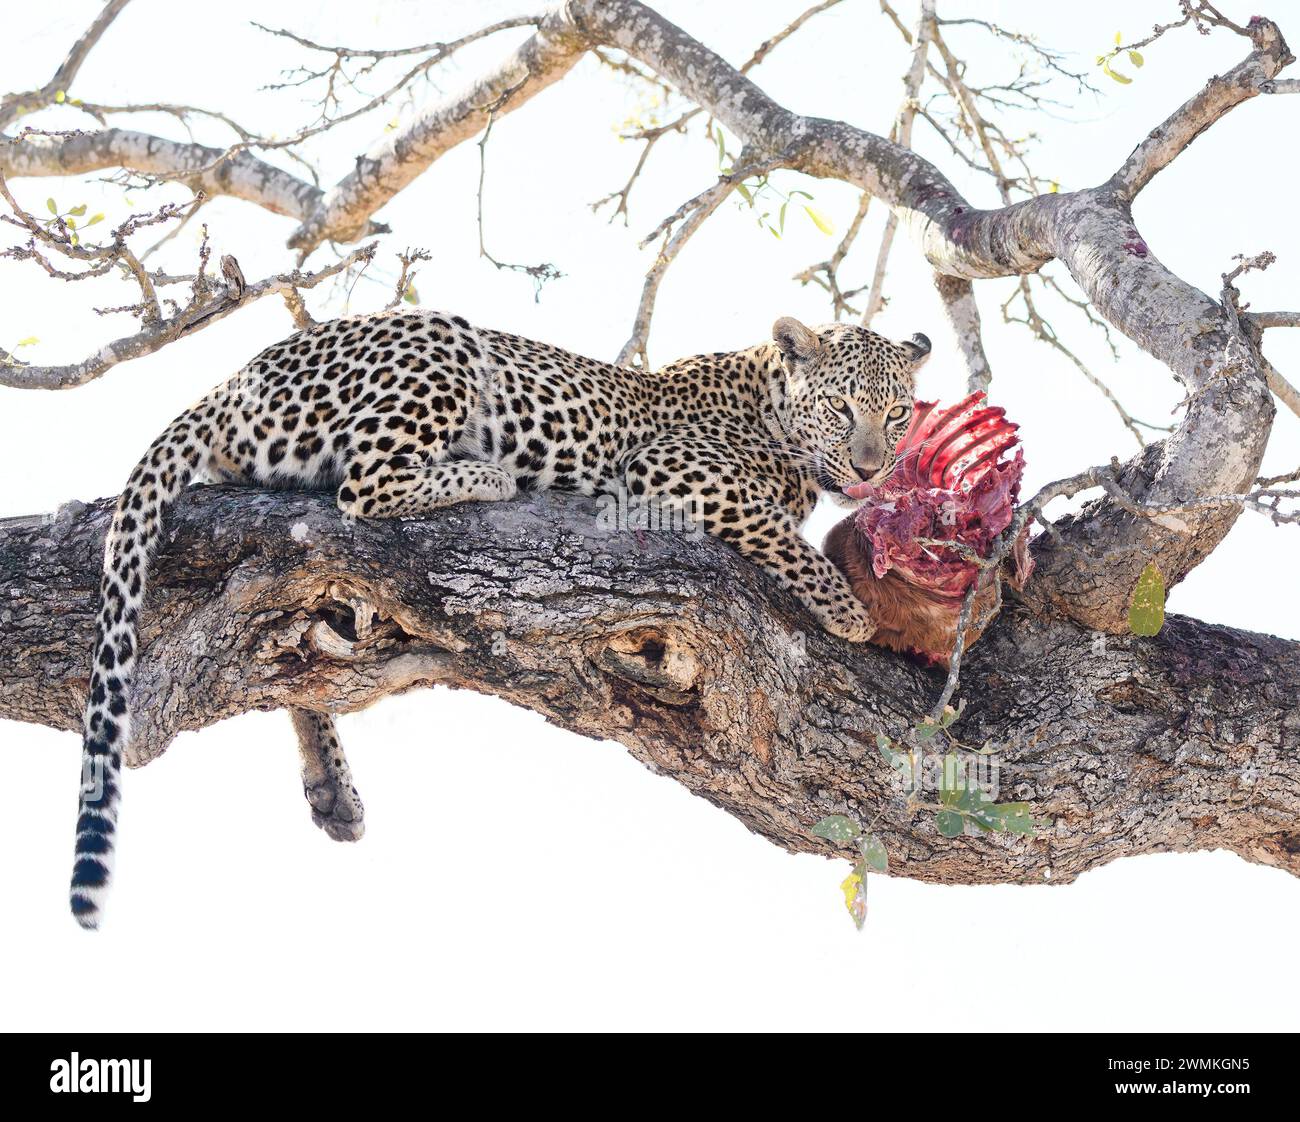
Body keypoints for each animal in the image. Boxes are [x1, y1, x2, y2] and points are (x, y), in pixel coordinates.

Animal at [71, 309, 930, 930]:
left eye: (897, 416)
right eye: (843, 407)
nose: (871, 467)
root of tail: (233, 379)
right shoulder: (673, 471)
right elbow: (780, 534)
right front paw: (849, 610)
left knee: (303, 642)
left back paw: (331, 786)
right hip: (440, 346)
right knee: (362, 488)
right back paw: (484, 473)